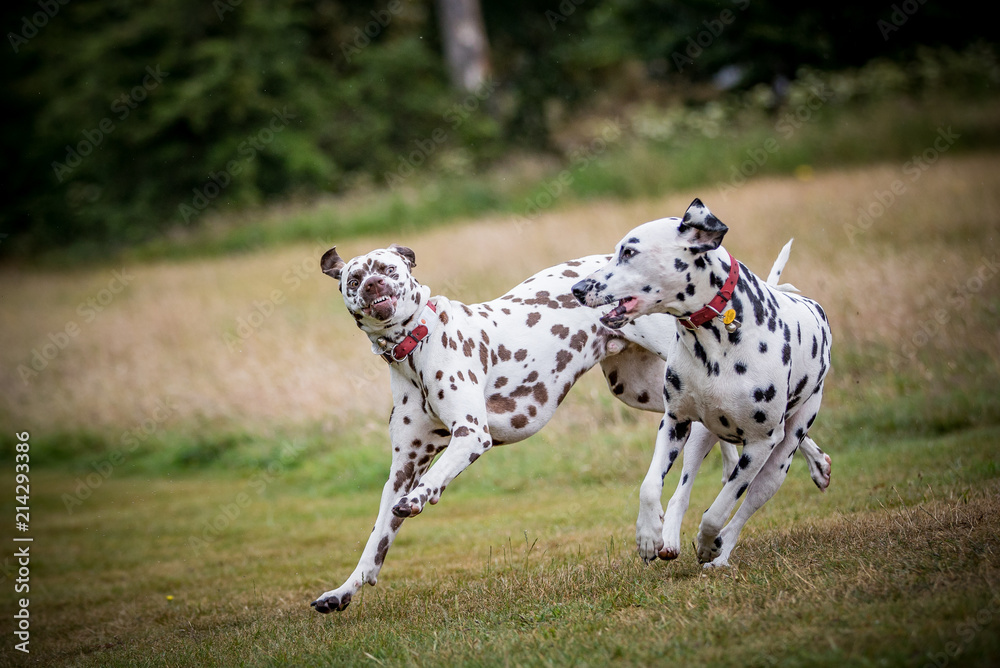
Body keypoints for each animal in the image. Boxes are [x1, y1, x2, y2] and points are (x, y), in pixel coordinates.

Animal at [312, 240, 828, 612]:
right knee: (720, 436)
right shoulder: (401, 468)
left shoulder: (470, 436)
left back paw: (807, 464)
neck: (415, 348)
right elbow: (376, 538)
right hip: (643, 390)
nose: (373, 282)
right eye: (354, 277)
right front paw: (344, 591)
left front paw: (422, 498)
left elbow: (430, 482)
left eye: (388, 269)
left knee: (758, 434)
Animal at [576, 198, 832, 568]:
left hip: (778, 462)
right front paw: (648, 536)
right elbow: (650, 486)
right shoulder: (675, 422)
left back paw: (721, 554)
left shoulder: (759, 446)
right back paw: (669, 538)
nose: (577, 289)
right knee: (682, 490)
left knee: (745, 507)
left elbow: (719, 510)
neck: (719, 336)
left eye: (629, 252)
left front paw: (709, 543)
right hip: (700, 435)